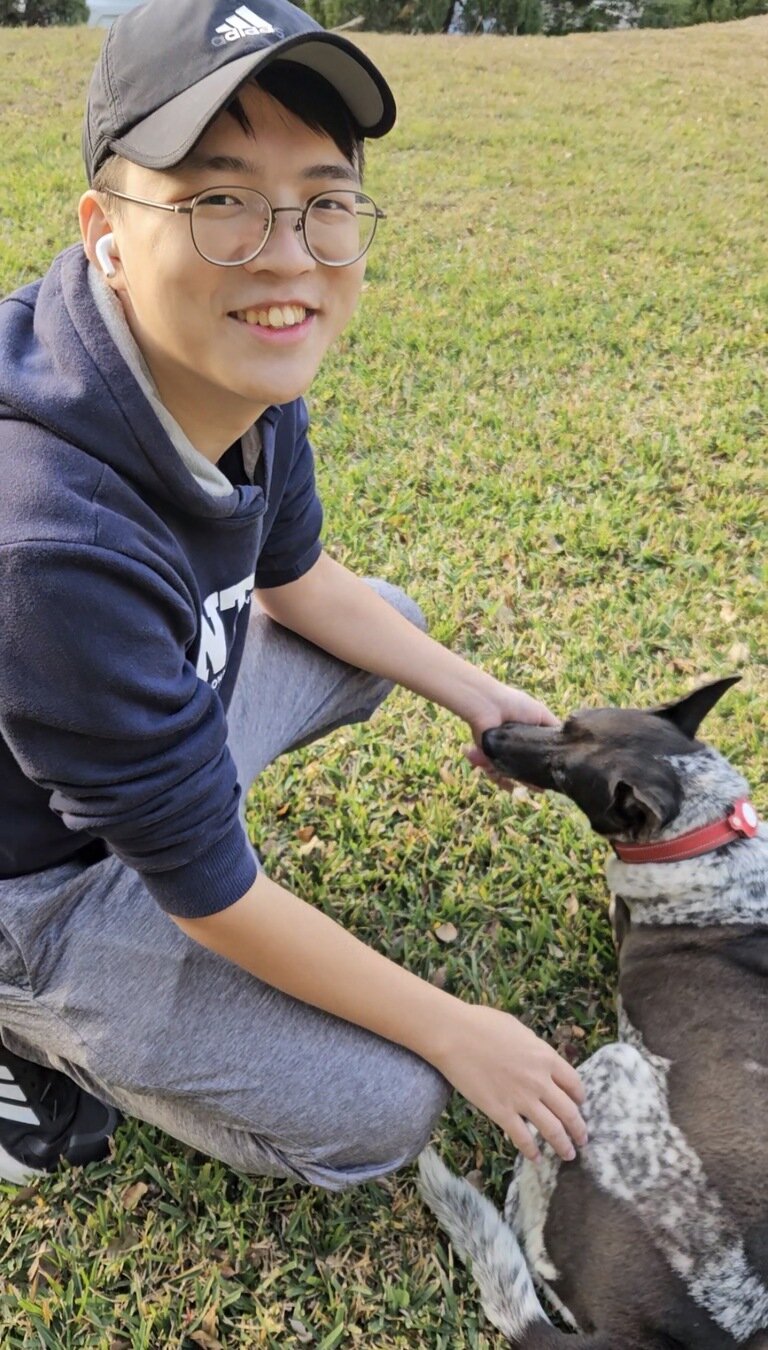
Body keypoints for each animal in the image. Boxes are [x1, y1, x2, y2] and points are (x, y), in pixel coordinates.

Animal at [418, 677, 768, 1350]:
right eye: (568, 720)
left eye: (561, 771)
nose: (491, 735)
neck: (705, 832)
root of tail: (638, 1333)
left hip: (608, 1071)